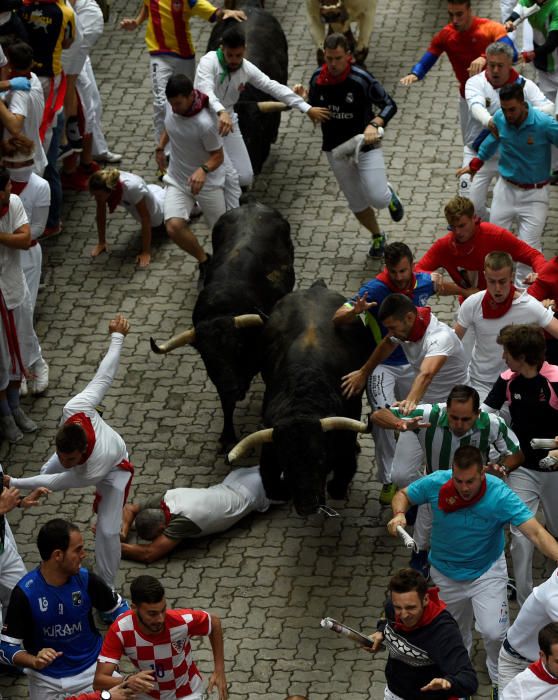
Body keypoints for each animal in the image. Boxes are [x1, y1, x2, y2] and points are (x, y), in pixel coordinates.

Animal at [149, 201, 298, 454]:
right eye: (206, 356)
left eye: (236, 346)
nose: (231, 388)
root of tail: (252, 205)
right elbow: (225, 404)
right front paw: (227, 435)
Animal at [230, 278, 374, 516]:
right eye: (286, 464)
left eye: (321, 459)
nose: (307, 506)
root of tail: (316, 287)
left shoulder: (351, 411)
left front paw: (337, 486)